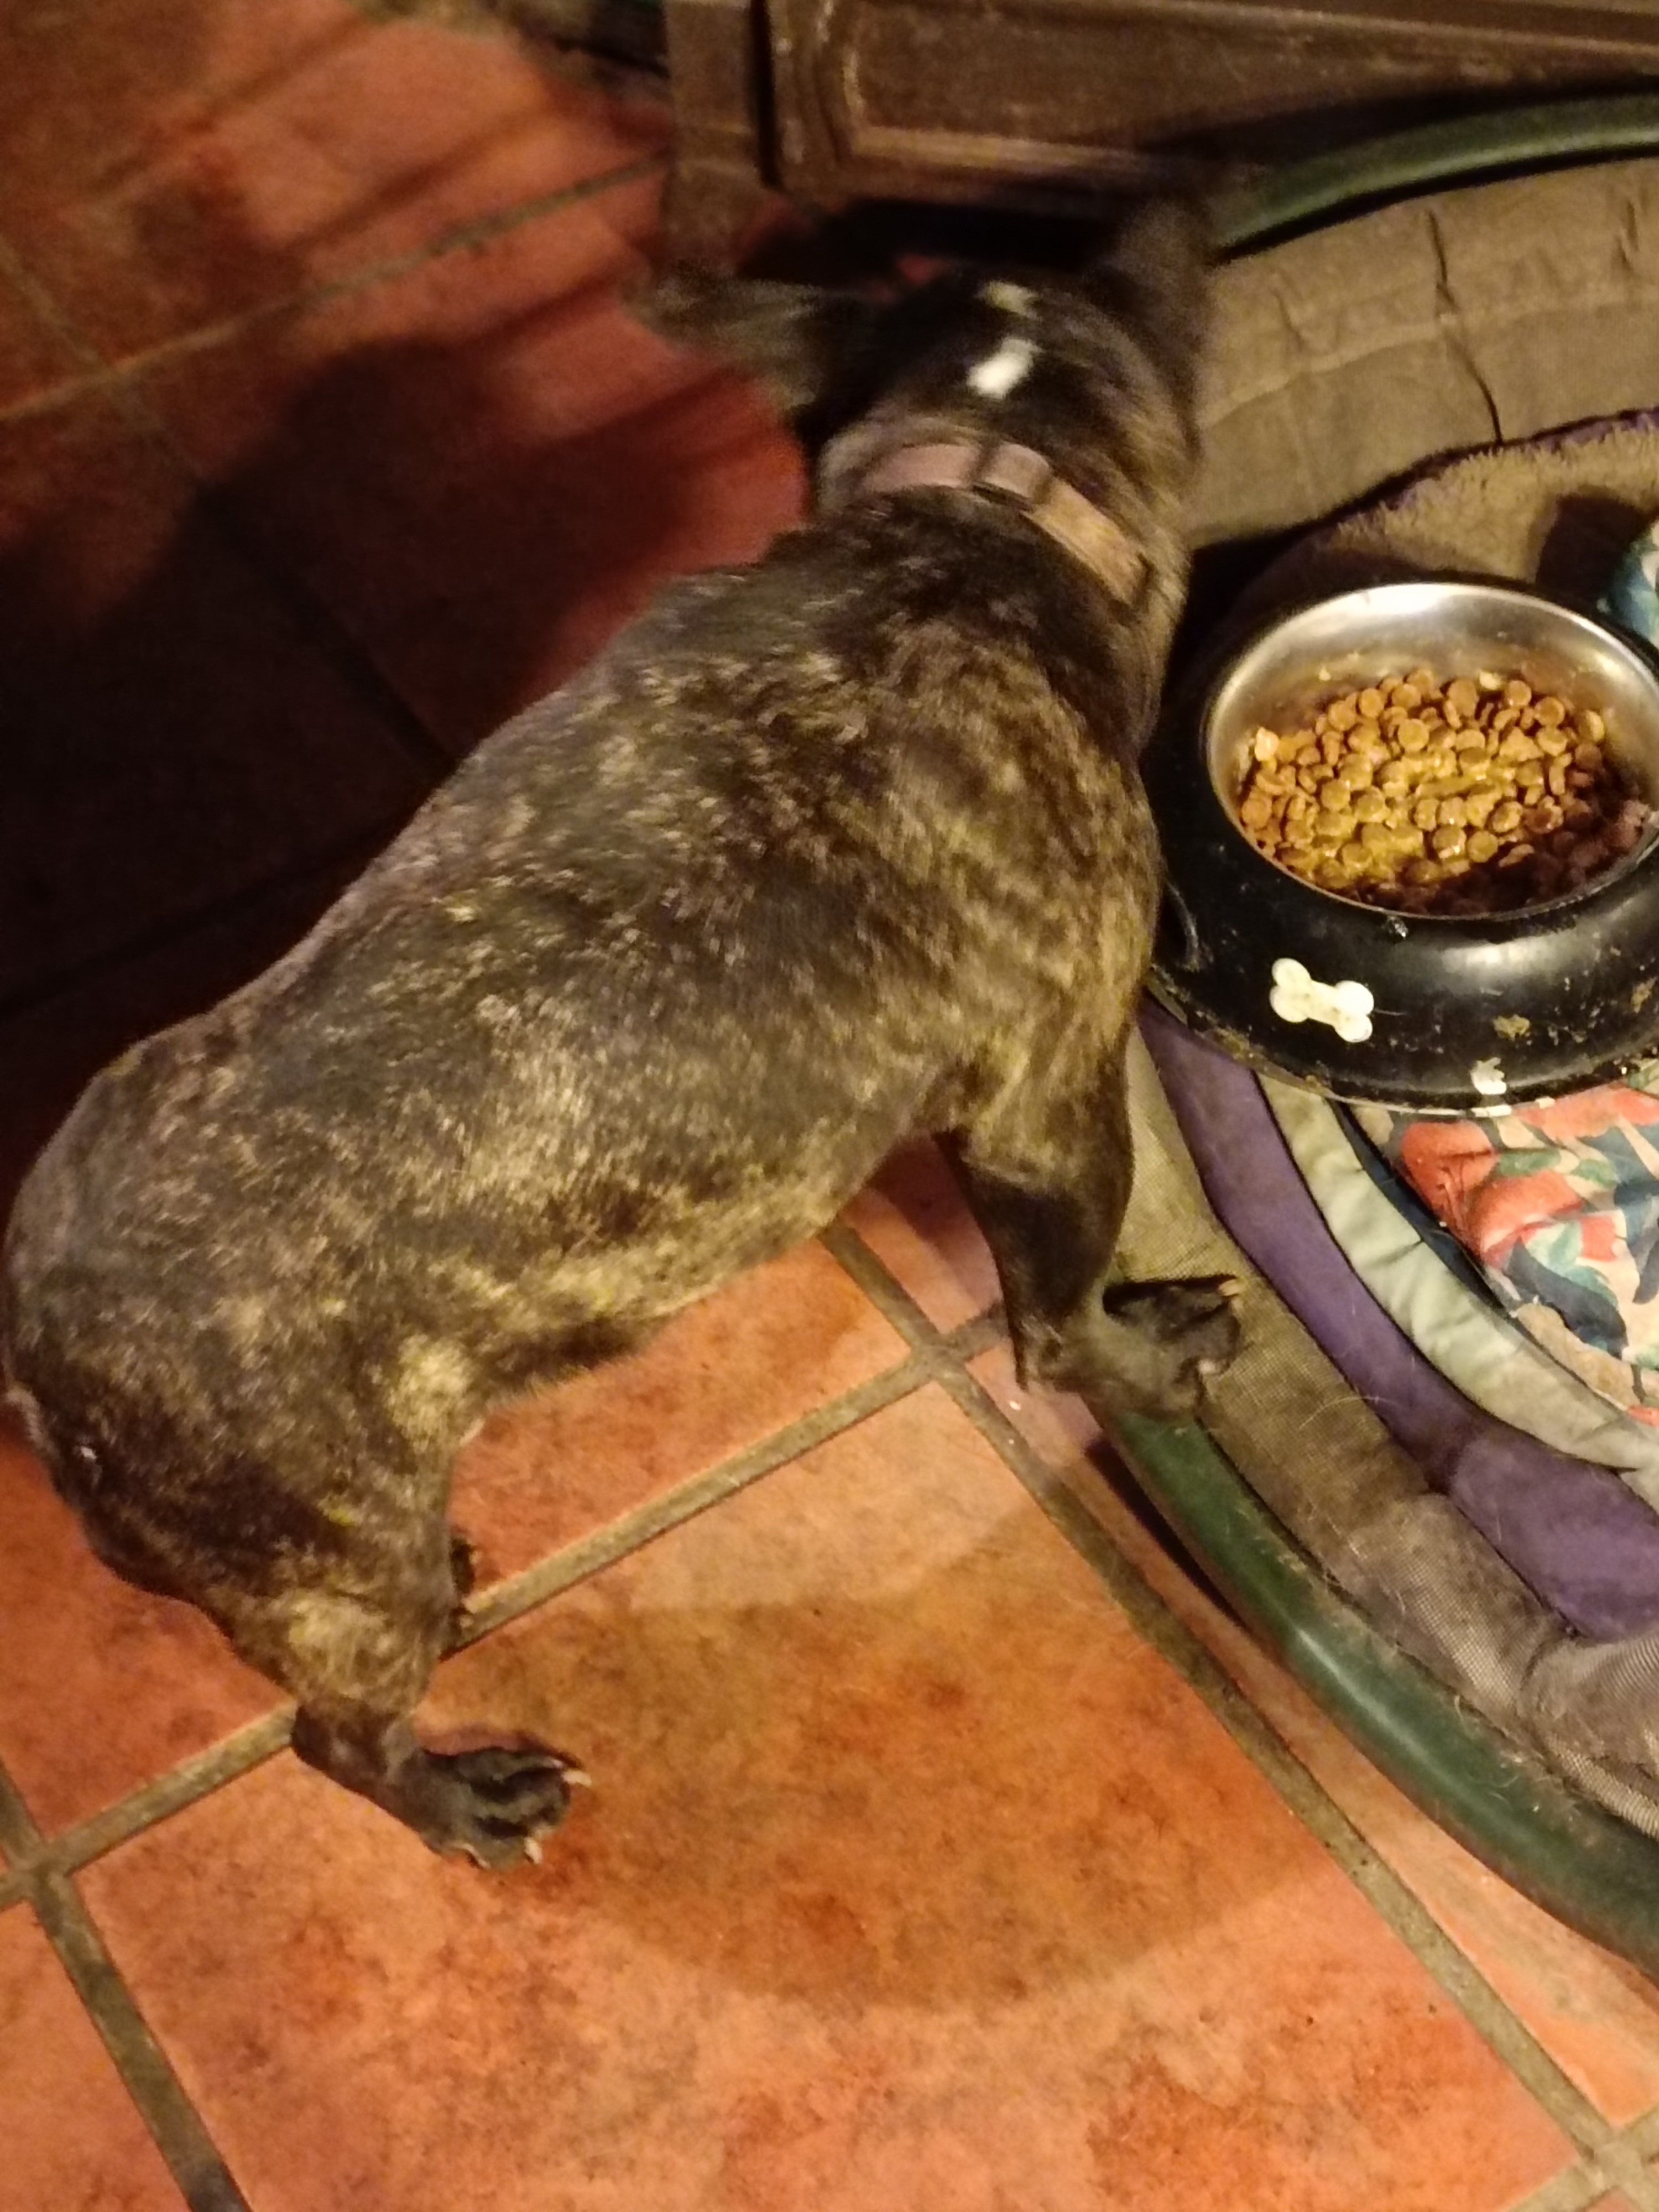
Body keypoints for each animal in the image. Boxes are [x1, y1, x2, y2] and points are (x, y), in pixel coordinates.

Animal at [2, 200, 1238, 1867]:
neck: (976, 492)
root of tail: (38, 1355)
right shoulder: (1052, 1118)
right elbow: (1058, 1313)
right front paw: (1143, 1357)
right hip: (348, 1574)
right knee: (336, 1737)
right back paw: (464, 1800)